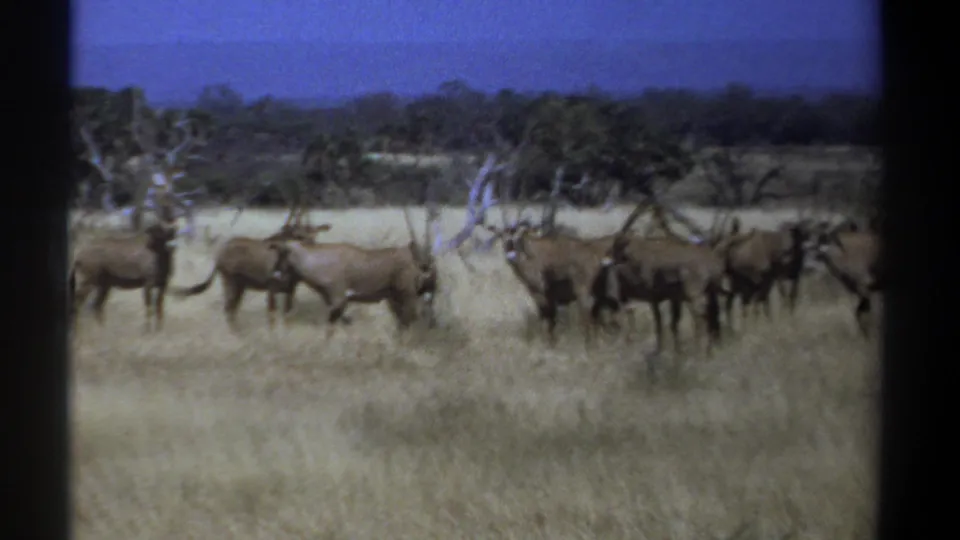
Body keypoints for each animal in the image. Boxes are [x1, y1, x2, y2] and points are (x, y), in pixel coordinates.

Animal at [170, 204, 332, 329]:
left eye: (315, 235)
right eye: (299, 236)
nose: (311, 247)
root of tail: (220, 254)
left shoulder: (290, 290)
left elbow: (287, 316)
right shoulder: (272, 289)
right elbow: (271, 315)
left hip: (240, 287)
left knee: (232, 309)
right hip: (230, 283)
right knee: (228, 308)